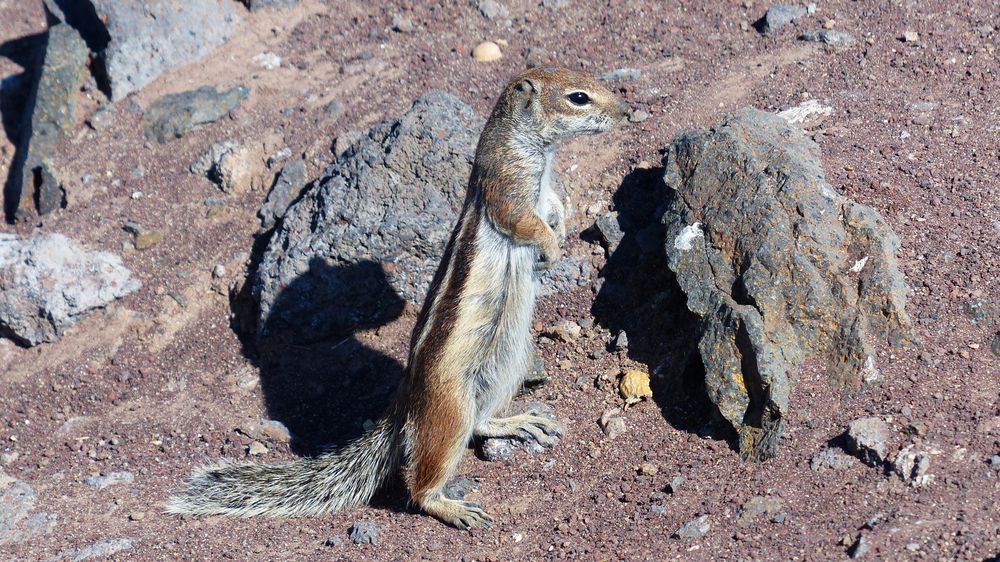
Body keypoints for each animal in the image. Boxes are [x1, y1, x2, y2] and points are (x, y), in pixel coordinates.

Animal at [168, 68, 628, 528]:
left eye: (587, 78)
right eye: (578, 97)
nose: (624, 110)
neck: (532, 148)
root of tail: (405, 401)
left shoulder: (544, 191)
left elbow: (554, 208)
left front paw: (560, 232)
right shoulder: (506, 188)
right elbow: (526, 223)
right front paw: (550, 249)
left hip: (508, 365)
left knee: (480, 424)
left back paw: (514, 422)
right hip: (449, 410)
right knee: (421, 481)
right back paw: (450, 506)